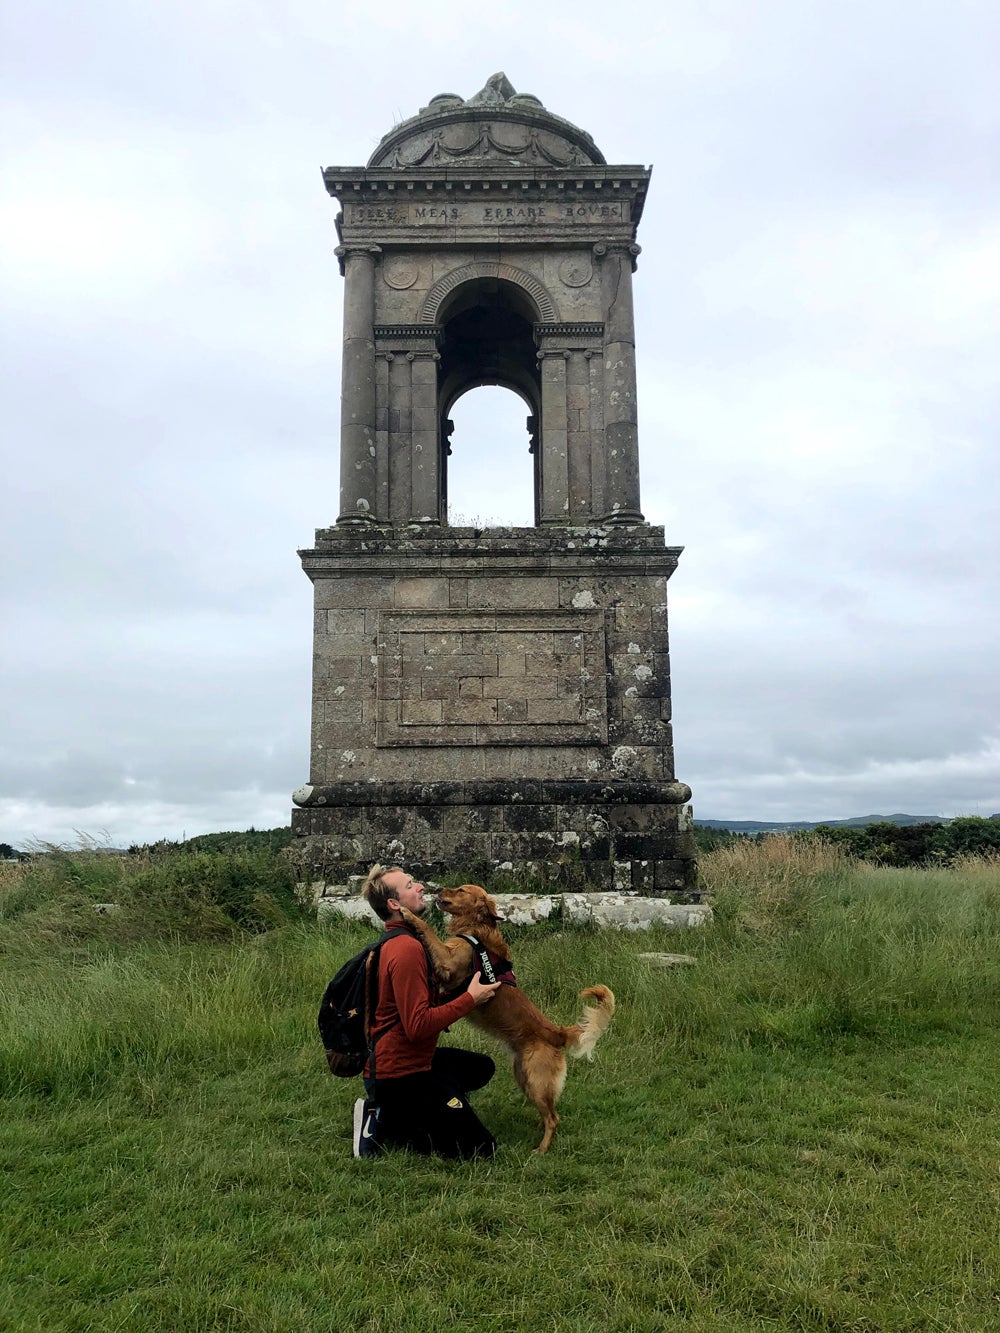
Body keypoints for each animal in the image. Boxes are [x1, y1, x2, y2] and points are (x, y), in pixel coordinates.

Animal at [397, 879, 610, 1151]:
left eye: (461, 890)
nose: (437, 889)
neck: (476, 928)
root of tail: (556, 1033)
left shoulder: (449, 962)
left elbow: (429, 931)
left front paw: (409, 914)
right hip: (525, 1077)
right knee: (548, 1113)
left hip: (536, 1080)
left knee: (554, 1118)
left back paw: (541, 1149)